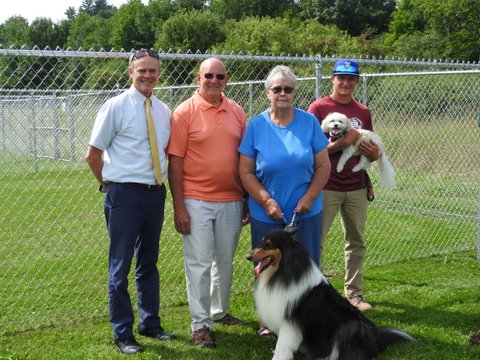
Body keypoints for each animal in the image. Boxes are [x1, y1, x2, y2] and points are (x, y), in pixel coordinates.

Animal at [248, 231, 412, 360]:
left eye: (269, 244)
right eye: (262, 240)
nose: (248, 256)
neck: (282, 271)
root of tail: (377, 338)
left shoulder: (290, 321)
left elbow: (283, 343)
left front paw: (278, 357)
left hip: (349, 326)